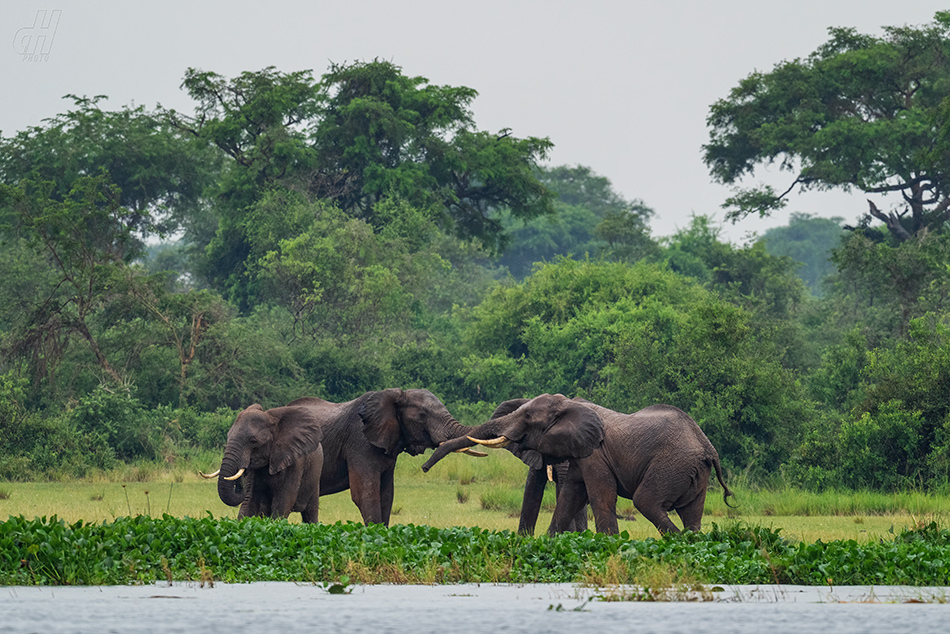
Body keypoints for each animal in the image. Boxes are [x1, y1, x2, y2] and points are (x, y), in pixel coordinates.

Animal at [424, 396, 736, 532]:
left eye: (528, 419)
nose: (424, 468)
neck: (570, 405)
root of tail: (708, 447)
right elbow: (570, 497)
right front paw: (548, 543)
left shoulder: (595, 454)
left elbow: (600, 497)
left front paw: (611, 547)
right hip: (693, 471)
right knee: (692, 515)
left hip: (671, 464)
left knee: (646, 502)